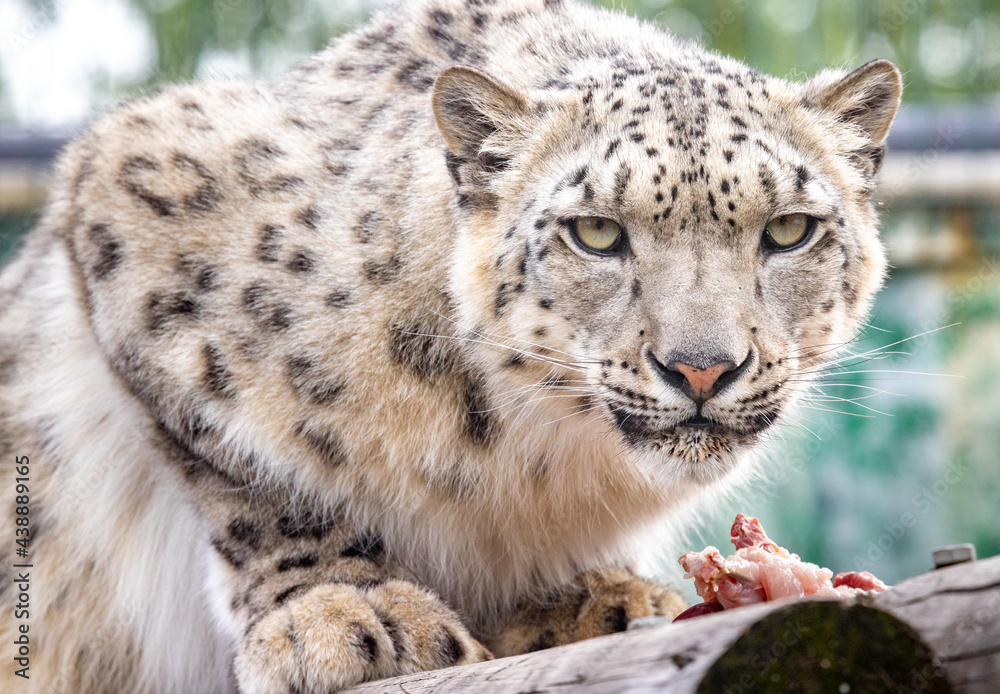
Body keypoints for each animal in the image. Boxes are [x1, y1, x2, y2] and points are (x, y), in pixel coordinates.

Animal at [0, 0, 901, 691]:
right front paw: (348, 611)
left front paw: (595, 599)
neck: (528, 464)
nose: (703, 367)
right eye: (596, 233)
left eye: (789, 230)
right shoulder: (136, 216)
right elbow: (255, 479)